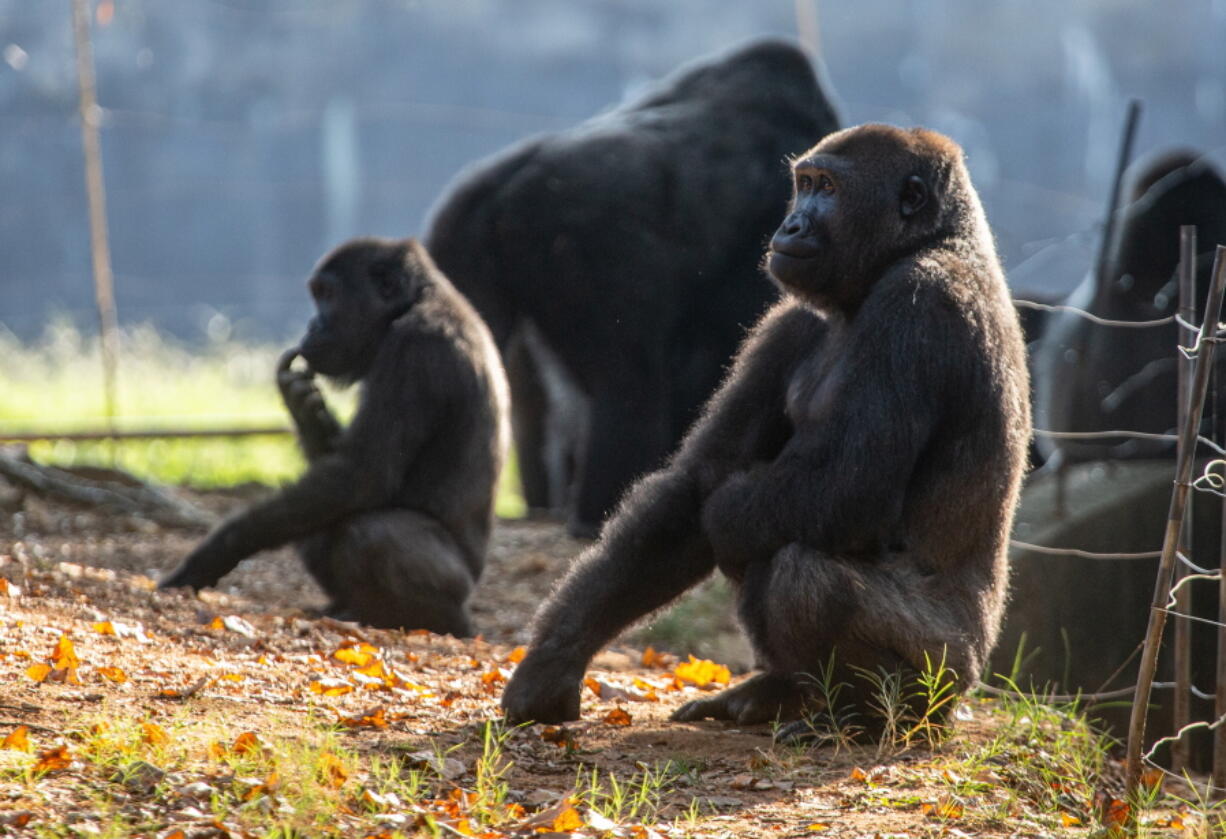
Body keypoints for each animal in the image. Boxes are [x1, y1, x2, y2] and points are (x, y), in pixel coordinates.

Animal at [160, 237, 510, 637]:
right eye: (318, 295)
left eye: (328, 294)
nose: (313, 324)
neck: (415, 301)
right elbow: (334, 477)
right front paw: (303, 408)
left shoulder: (416, 348)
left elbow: (360, 476)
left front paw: (215, 552)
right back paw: (347, 607)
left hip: (460, 592)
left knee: (374, 531)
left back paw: (426, 619)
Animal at [500, 122, 1034, 735]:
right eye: (803, 185)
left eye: (828, 188)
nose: (791, 225)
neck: (931, 241)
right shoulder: (788, 321)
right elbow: (692, 488)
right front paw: (552, 663)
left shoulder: (918, 304)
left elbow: (838, 491)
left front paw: (728, 512)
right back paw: (779, 693)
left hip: (949, 674)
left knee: (805, 577)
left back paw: (872, 714)